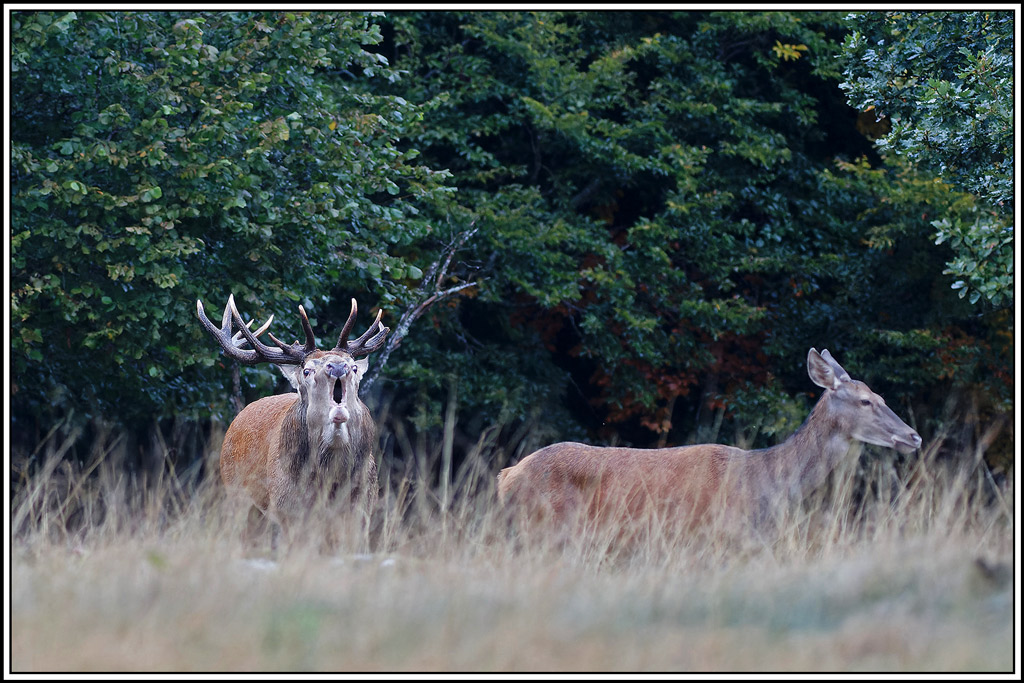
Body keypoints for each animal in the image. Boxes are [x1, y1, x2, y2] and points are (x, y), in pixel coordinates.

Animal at [197, 293, 388, 550]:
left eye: (354, 367)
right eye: (307, 371)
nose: (338, 366)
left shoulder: (363, 505)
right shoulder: (287, 507)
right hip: (237, 495)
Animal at [497, 348, 922, 543]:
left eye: (881, 395)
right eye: (865, 401)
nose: (913, 436)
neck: (766, 482)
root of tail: (507, 476)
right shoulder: (720, 535)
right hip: (543, 526)